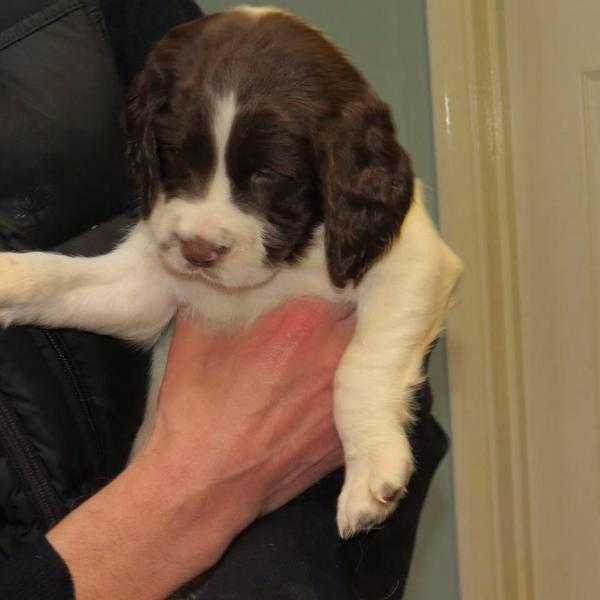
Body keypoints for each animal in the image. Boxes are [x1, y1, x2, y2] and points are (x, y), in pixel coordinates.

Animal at [0, 5, 462, 540]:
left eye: (268, 176)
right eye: (175, 154)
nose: (198, 251)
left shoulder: (411, 264)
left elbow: (361, 366)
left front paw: (370, 469)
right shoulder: (150, 286)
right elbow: (57, 276)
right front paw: (4, 277)